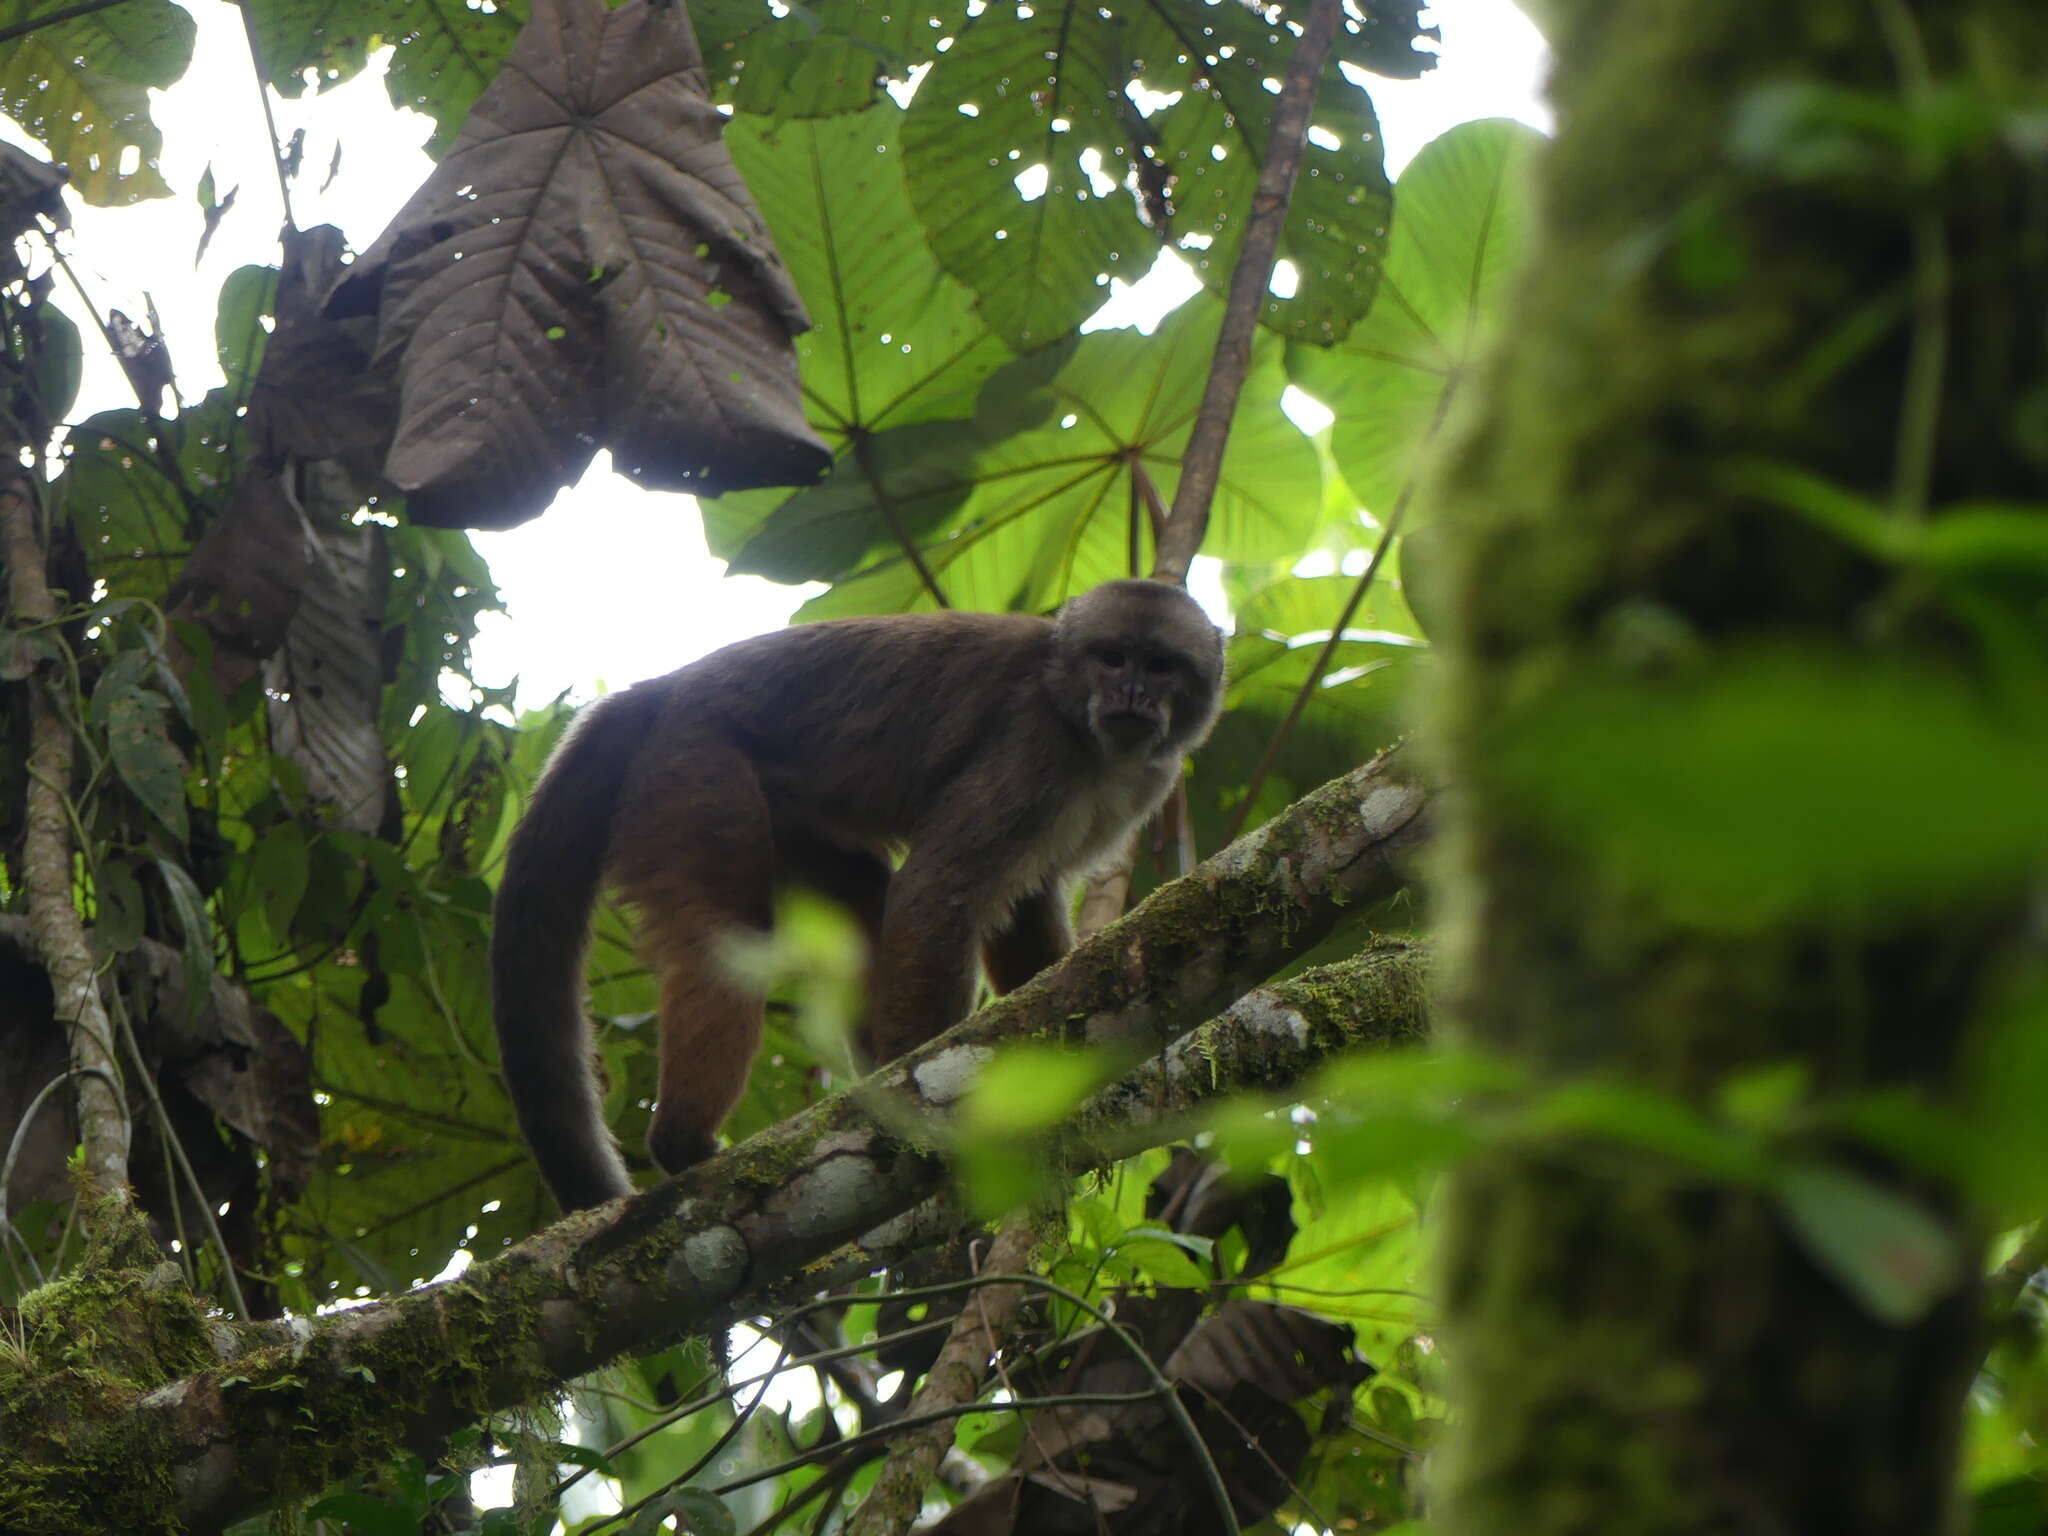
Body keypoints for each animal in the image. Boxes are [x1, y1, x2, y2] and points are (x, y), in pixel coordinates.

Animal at [487, 581, 1220, 1212]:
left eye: (1160, 666)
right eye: (1113, 658)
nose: (1132, 692)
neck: (1085, 729)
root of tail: (664, 687)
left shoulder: (1140, 782)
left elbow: (1024, 908)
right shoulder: (1035, 743)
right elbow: (938, 890)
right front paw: (933, 1111)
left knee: (861, 903)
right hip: (693, 760)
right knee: (730, 941)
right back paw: (684, 1142)